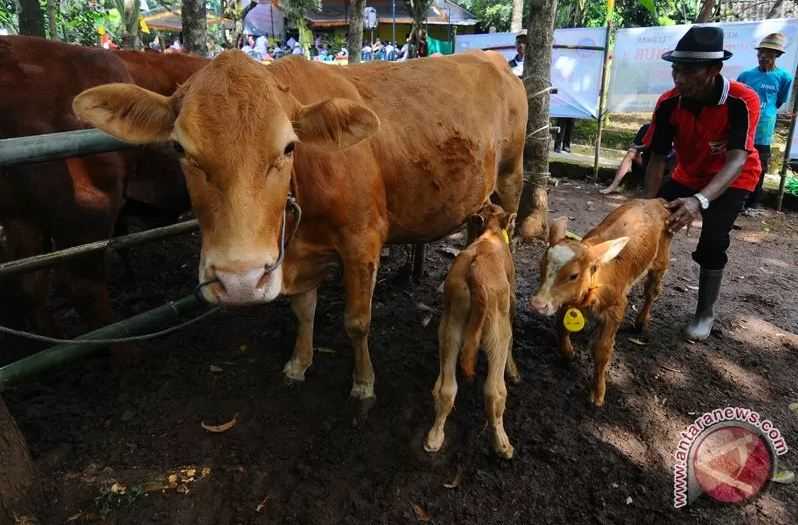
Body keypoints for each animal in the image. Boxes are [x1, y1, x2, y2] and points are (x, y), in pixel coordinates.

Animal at [72, 50, 528, 402]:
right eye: (180, 148)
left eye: (289, 147)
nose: (239, 281)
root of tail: (492, 58)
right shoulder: (297, 251)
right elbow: (303, 309)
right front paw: (299, 362)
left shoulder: (362, 241)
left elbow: (357, 321)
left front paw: (364, 383)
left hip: (512, 176)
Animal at [424, 203, 520, 456]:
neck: (491, 234)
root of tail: (474, 272)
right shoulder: (511, 301)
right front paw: (514, 371)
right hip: (497, 333)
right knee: (494, 393)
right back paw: (502, 445)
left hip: (450, 328)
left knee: (445, 389)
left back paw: (434, 439)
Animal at [532, 199, 676, 408]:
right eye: (541, 265)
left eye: (573, 275)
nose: (538, 304)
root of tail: (656, 201)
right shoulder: (565, 300)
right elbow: (561, 326)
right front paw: (568, 354)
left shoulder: (615, 308)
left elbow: (602, 350)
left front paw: (598, 393)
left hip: (661, 260)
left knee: (652, 292)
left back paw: (640, 322)